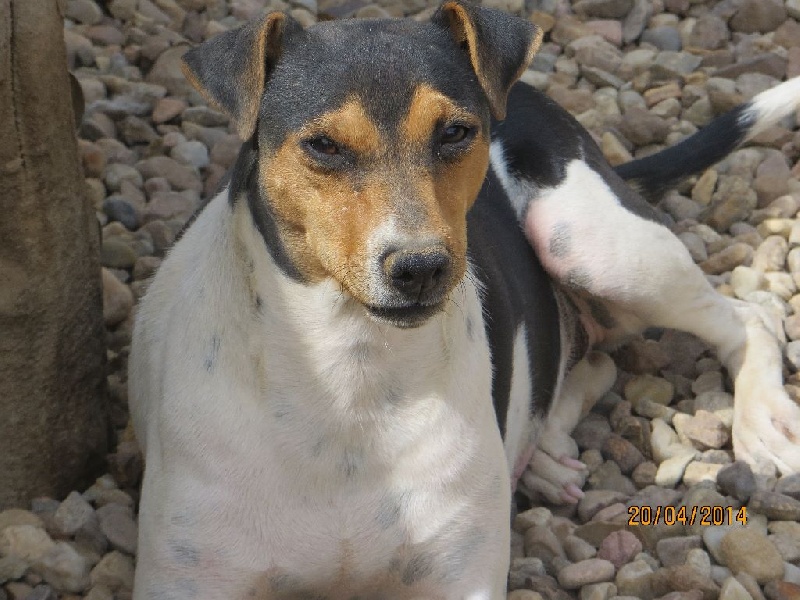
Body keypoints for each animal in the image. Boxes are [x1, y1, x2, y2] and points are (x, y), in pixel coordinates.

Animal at [129, 1, 800, 596]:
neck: (350, 369)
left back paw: (762, 421)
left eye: (455, 131)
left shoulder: (460, 574)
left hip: (593, 244)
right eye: (322, 145)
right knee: (592, 362)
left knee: (751, 317)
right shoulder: (187, 578)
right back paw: (546, 455)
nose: (420, 267)